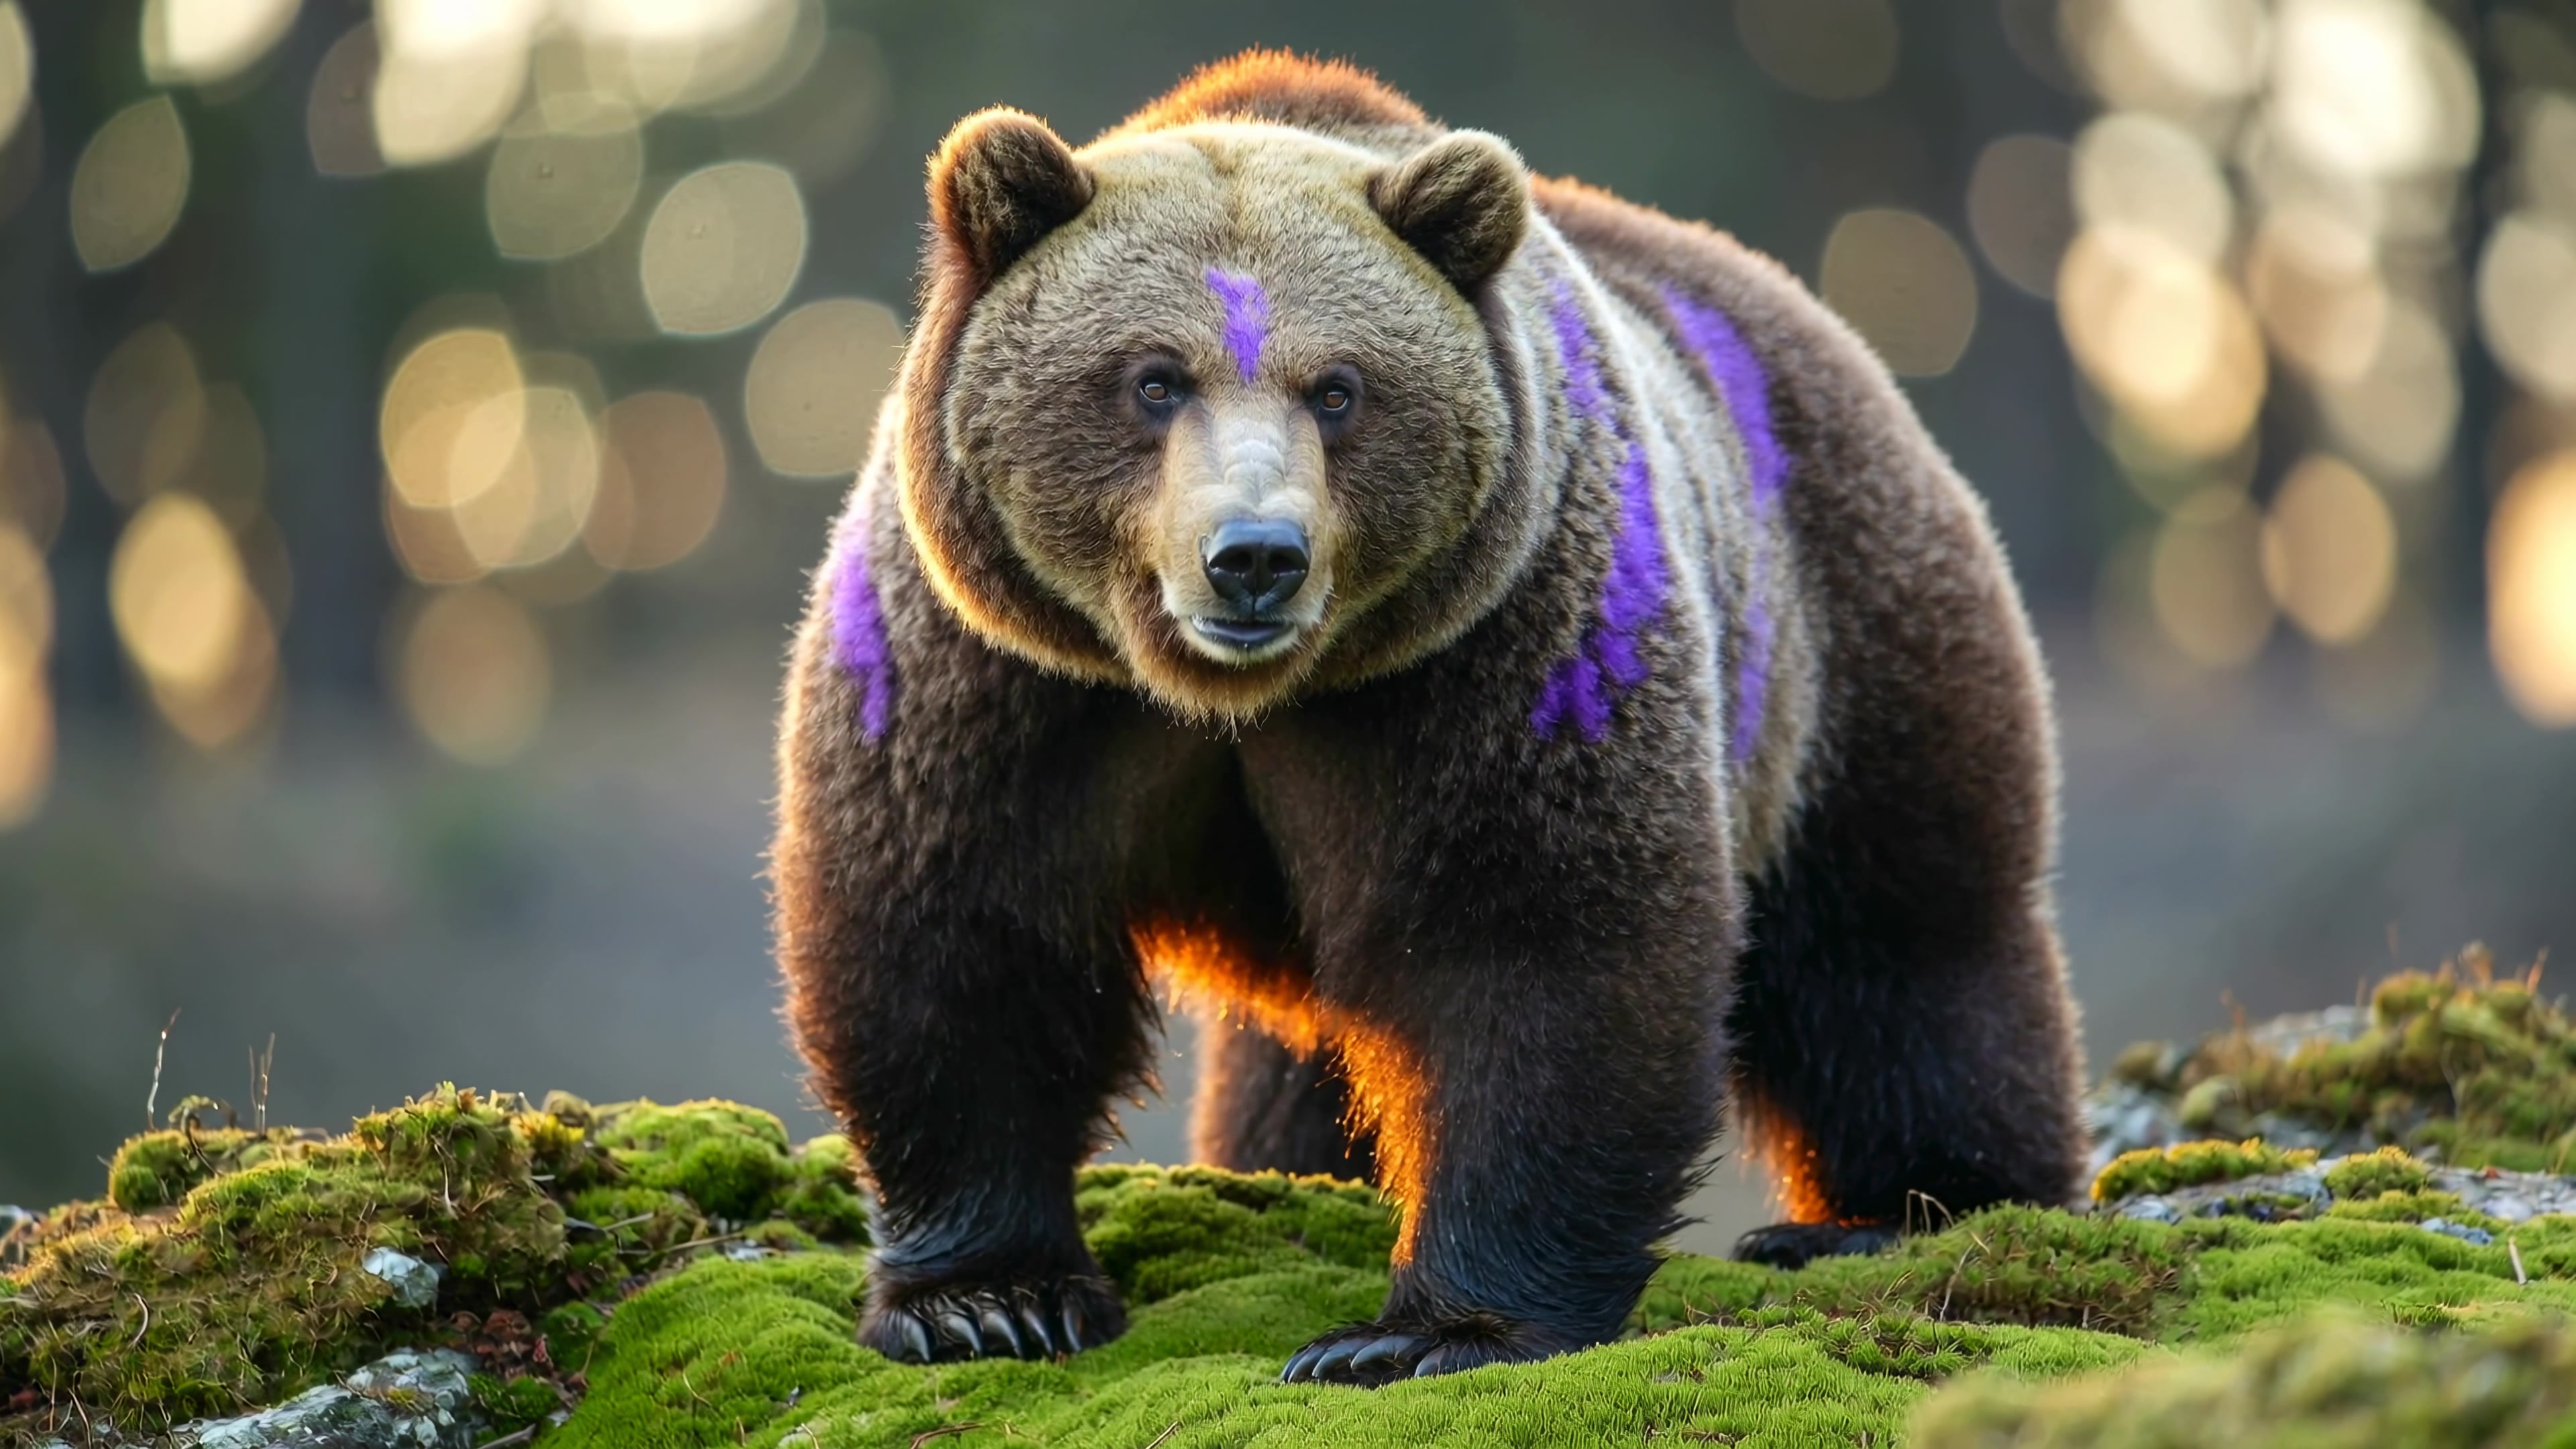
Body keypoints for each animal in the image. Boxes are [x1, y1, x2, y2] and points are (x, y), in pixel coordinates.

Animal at [771, 50, 2088, 1385]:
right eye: (1153, 378)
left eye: (1339, 389)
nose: (1256, 557)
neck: (1237, 697)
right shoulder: (1000, 678)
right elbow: (960, 933)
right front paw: (987, 1302)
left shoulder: (1503, 659)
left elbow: (1539, 945)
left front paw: (1417, 1335)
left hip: (1840, 638)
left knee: (1904, 944)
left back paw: (1898, 1212)